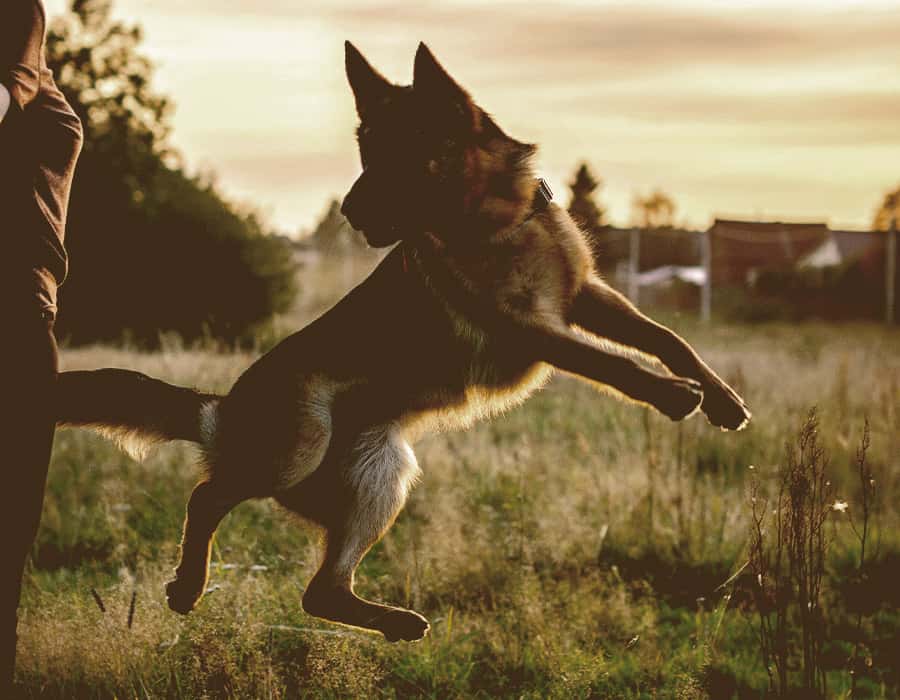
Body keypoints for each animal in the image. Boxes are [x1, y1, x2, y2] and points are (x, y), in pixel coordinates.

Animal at [52, 42, 748, 640]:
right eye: (367, 154)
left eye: (397, 155)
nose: (347, 214)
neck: (501, 223)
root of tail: (221, 410)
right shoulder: (533, 327)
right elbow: (610, 363)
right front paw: (672, 395)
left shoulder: (585, 299)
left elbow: (667, 339)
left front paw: (720, 398)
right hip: (304, 444)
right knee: (206, 496)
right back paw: (188, 586)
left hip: (382, 475)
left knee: (320, 592)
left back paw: (394, 623)